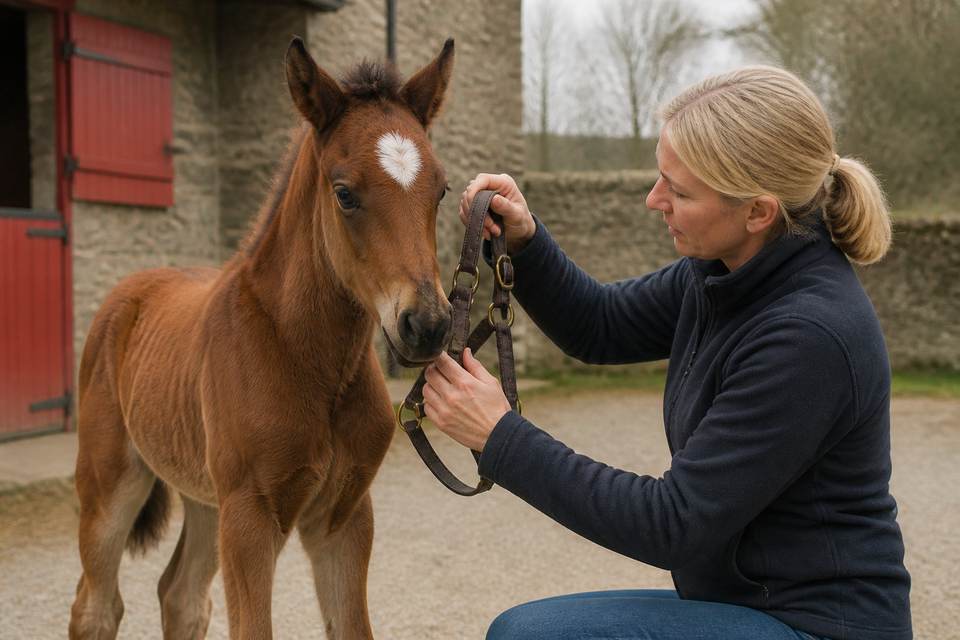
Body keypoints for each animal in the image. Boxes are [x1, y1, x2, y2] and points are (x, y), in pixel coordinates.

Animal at [68, 37, 455, 640]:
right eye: (344, 194)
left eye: (440, 190)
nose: (428, 324)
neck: (310, 361)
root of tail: (130, 291)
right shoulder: (250, 515)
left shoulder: (344, 516)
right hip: (113, 484)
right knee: (96, 606)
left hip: (205, 497)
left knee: (180, 595)